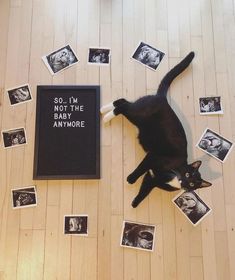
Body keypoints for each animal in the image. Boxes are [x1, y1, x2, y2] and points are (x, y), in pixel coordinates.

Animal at [100, 51, 212, 207]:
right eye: (188, 174)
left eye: (192, 184)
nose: (184, 181)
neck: (174, 176)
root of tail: (162, 98)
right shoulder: (153, 157)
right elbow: (141, 168)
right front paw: (131, 179)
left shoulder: (153, 180)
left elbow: (144, 191)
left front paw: (135, 203)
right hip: (138, 115)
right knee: (124, 105)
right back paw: (105, 115)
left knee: (123, 101)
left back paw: (105, 110)